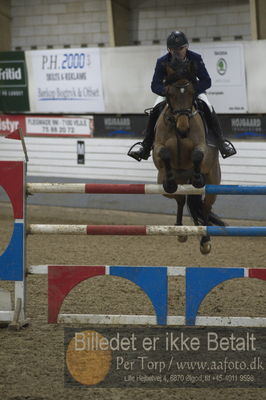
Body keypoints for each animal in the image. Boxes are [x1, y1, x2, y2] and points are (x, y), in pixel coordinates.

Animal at [152, 57, 224, 255]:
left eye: (192, 92)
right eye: (169, 93)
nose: (183, 128)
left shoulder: (202, 147)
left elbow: (198, 154)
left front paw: (198, 178)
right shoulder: (157, 149)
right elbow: (164, 153)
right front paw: (170, 178)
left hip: (213, 183)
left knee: (205, 207)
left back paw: (205, 241)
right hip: (164, 185)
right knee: (179, 198)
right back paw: (179, 230)